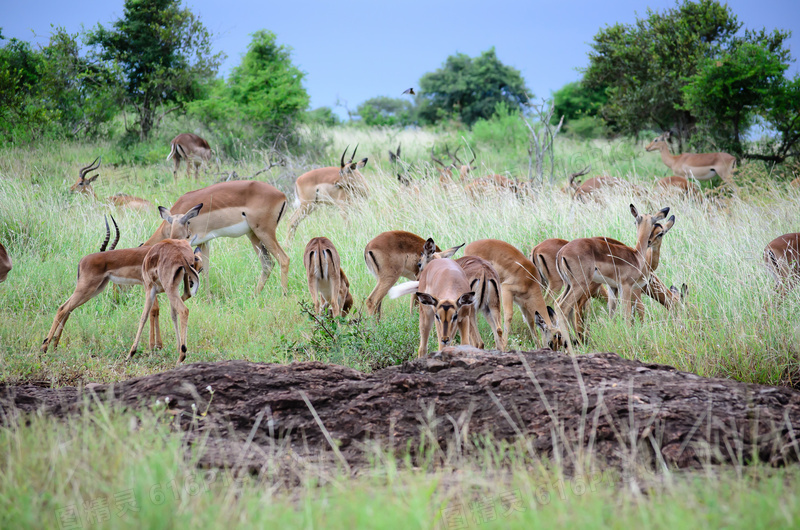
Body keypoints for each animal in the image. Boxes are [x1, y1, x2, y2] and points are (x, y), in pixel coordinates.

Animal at [40, 214, 164, 350]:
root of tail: (81, 261)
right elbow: (153, 310)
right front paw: (154, 346)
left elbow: (155, 310)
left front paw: (158, 346)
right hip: (86, 290)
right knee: (62, 308)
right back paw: (44, 347)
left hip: (94, 290)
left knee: (68, 309)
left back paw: (54, 345)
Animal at [145, 179, 292, 294]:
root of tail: (282, 196)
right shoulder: (204, 242)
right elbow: (205, 270)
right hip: (253, 234)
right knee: (268, 263)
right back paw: (254, 295)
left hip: (264, 232)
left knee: (283, 259)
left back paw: (284, 295)